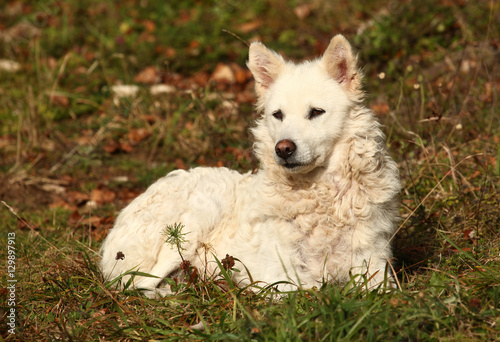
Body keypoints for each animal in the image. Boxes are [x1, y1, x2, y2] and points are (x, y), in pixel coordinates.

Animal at [101, 34, 402, 296]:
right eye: (278, 115)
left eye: (316, 112)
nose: (283, 149)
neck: (321, 196)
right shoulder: (279, 278)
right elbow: (311, 291)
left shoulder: (375, 268)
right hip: (197, 217)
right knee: (137, 285)